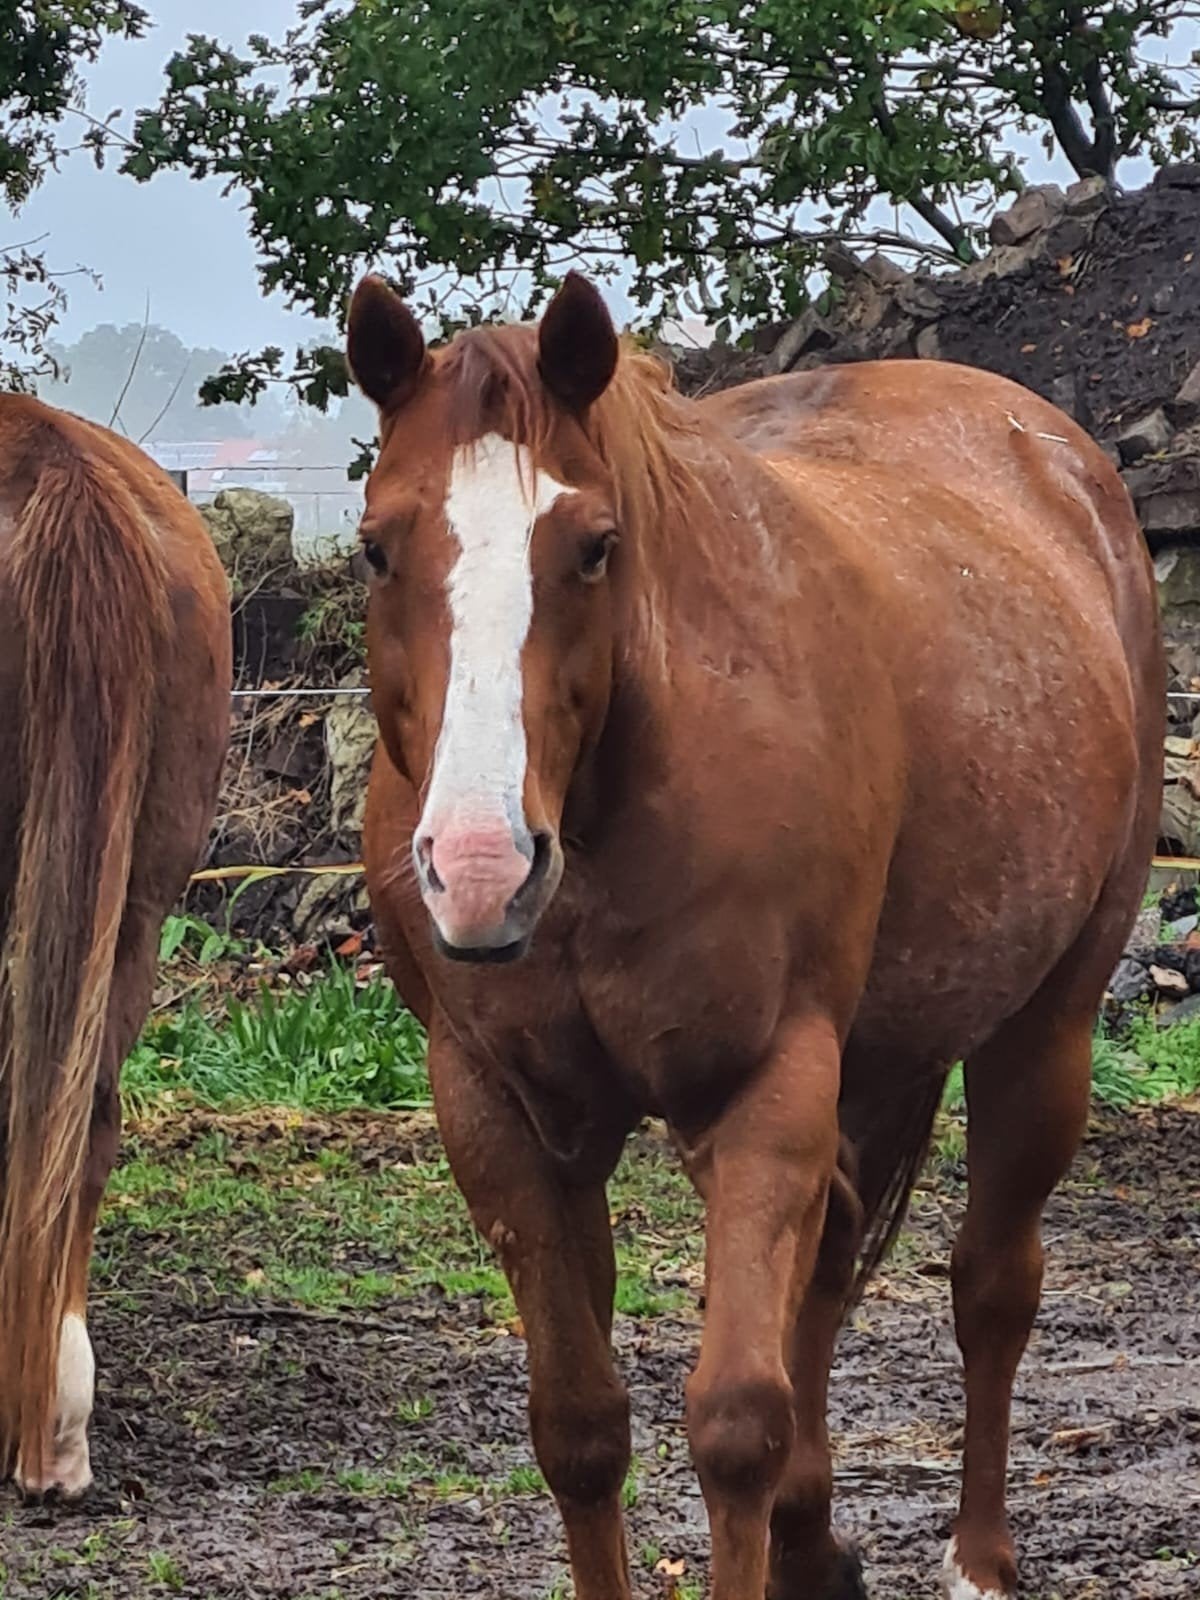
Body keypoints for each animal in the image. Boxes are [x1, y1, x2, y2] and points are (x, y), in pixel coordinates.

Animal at [349, 270, 1162, 1600]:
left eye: (595, 548)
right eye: (377, 545)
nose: (477, 868)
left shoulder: (766, 1084)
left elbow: (735, 1421)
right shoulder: (501, 1115)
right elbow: (580, 1427)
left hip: (1042, 1032)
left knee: (991, 1286)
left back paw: (976, 1557)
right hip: (874, 1059)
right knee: (827, 1273)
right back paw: (813, 1541)